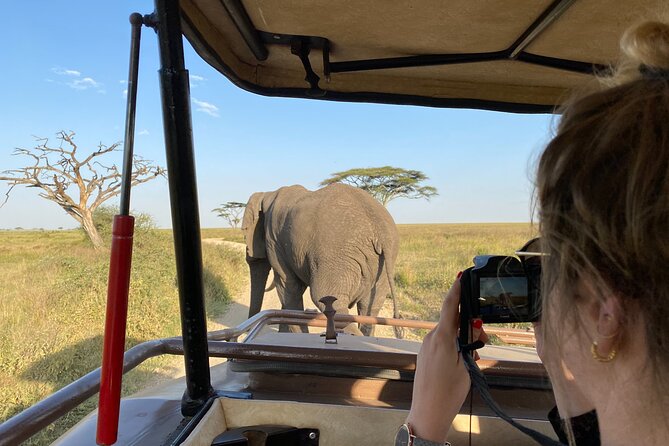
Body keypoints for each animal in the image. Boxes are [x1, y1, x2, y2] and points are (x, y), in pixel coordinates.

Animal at [242, 183, 400, 336]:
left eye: (245, 233)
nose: (246, 331)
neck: (268, 195)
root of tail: (380, 229)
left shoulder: (274, 242)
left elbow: (289, 288)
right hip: (383, 263)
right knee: (369, 308)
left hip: (337, 253)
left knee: (328, 300)